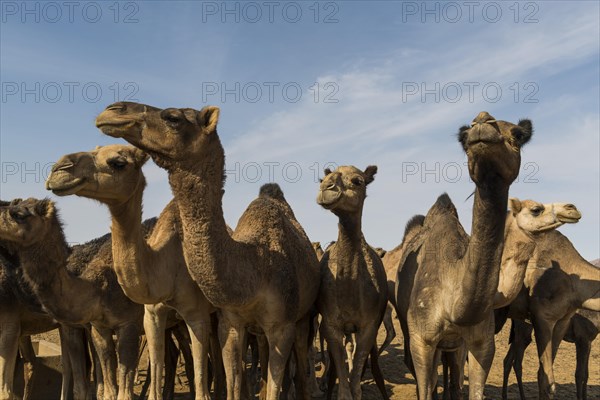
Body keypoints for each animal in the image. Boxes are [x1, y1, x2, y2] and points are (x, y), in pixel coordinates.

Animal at [97, 101, 324, 400]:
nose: (112, 110)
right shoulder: (230, 323)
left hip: (303, 317)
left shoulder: (281, 327)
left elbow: (275, 383)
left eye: (173, 118)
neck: (256, 270)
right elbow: (233, 383)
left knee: (299, 357)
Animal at [316, 164, 392, 398]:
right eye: (323, 178)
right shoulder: (331, 325)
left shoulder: (369, 325)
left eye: (358, 181)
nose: (326, 187)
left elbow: (356, 385)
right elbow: (343, 385)